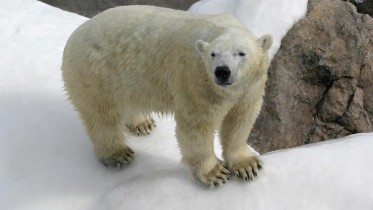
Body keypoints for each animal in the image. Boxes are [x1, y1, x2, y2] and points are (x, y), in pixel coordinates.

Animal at [61, 4, 270, 186]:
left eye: (241, 53)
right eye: (213, 54)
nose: (222, 72)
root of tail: (73, 36)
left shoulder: (250, 89)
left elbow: (240, 120)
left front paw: (248, 165)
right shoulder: (196, 81)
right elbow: (196, 127)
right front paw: (215, 173)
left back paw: (142, 123)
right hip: (97, 74)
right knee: (103, 118)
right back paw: (118, 154)